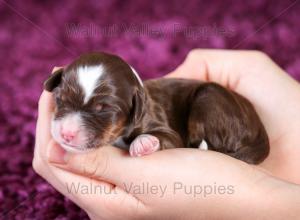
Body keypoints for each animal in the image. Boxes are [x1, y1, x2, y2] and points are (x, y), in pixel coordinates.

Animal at [44, 51, 270, 163]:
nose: (67, 134)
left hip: (209, 97)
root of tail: (260, 128)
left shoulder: (166, 129)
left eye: (103, 109)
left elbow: (167, 137)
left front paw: (143, 143)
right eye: (60, 99)